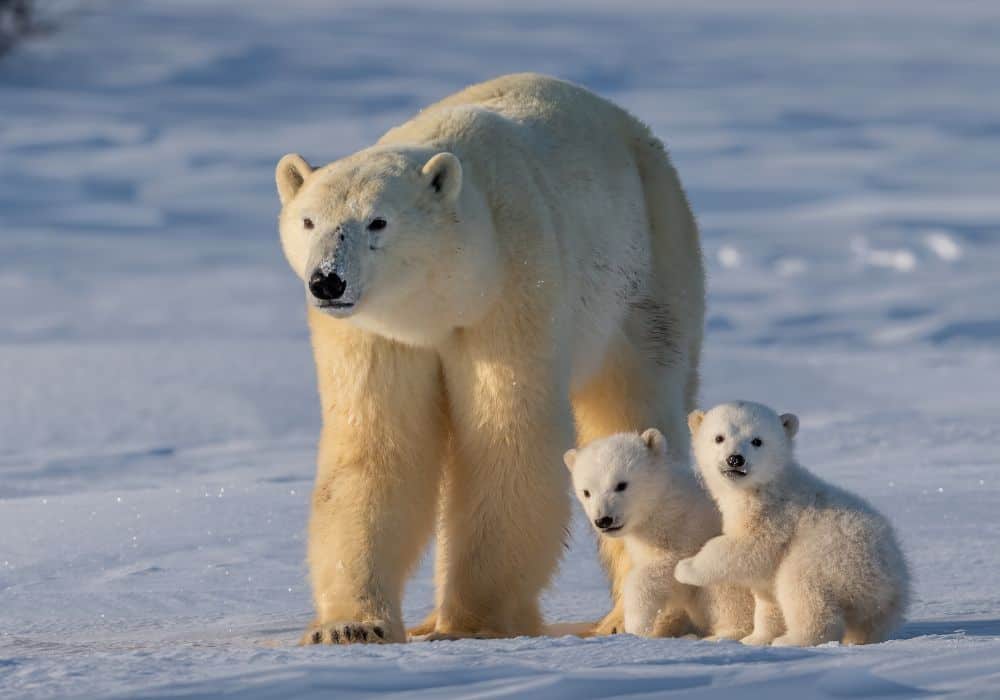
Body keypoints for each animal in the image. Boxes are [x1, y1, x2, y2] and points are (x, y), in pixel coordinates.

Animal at [274, 73, 705, 644]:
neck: (443, 299)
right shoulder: (376, 334)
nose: (327, 280)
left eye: (378, 222)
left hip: (649, 268)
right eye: (308, 220)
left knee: (634, 401)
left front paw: (472, 623)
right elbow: (376, 446)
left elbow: (506, 439)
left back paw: (631, 617)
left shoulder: (513, 289)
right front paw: (350, 626)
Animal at [564, 429, 753, 640]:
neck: (664, 504)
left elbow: (667, 569)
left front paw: (636, 624)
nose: (603, 520)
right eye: (586, 492)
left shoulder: (687, 530)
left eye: (621, 485)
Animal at [675, 401, 910, 646]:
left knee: (801, 588)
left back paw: (792, 639)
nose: (735, 459)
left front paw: (685, 568)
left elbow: (747, 548)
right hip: (879, 604)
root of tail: (890, 581)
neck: (763, 487)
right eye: (719, 437)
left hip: (831, 557)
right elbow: (767, 598)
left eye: (757, 440)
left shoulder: (775, 516)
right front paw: (755, 639)